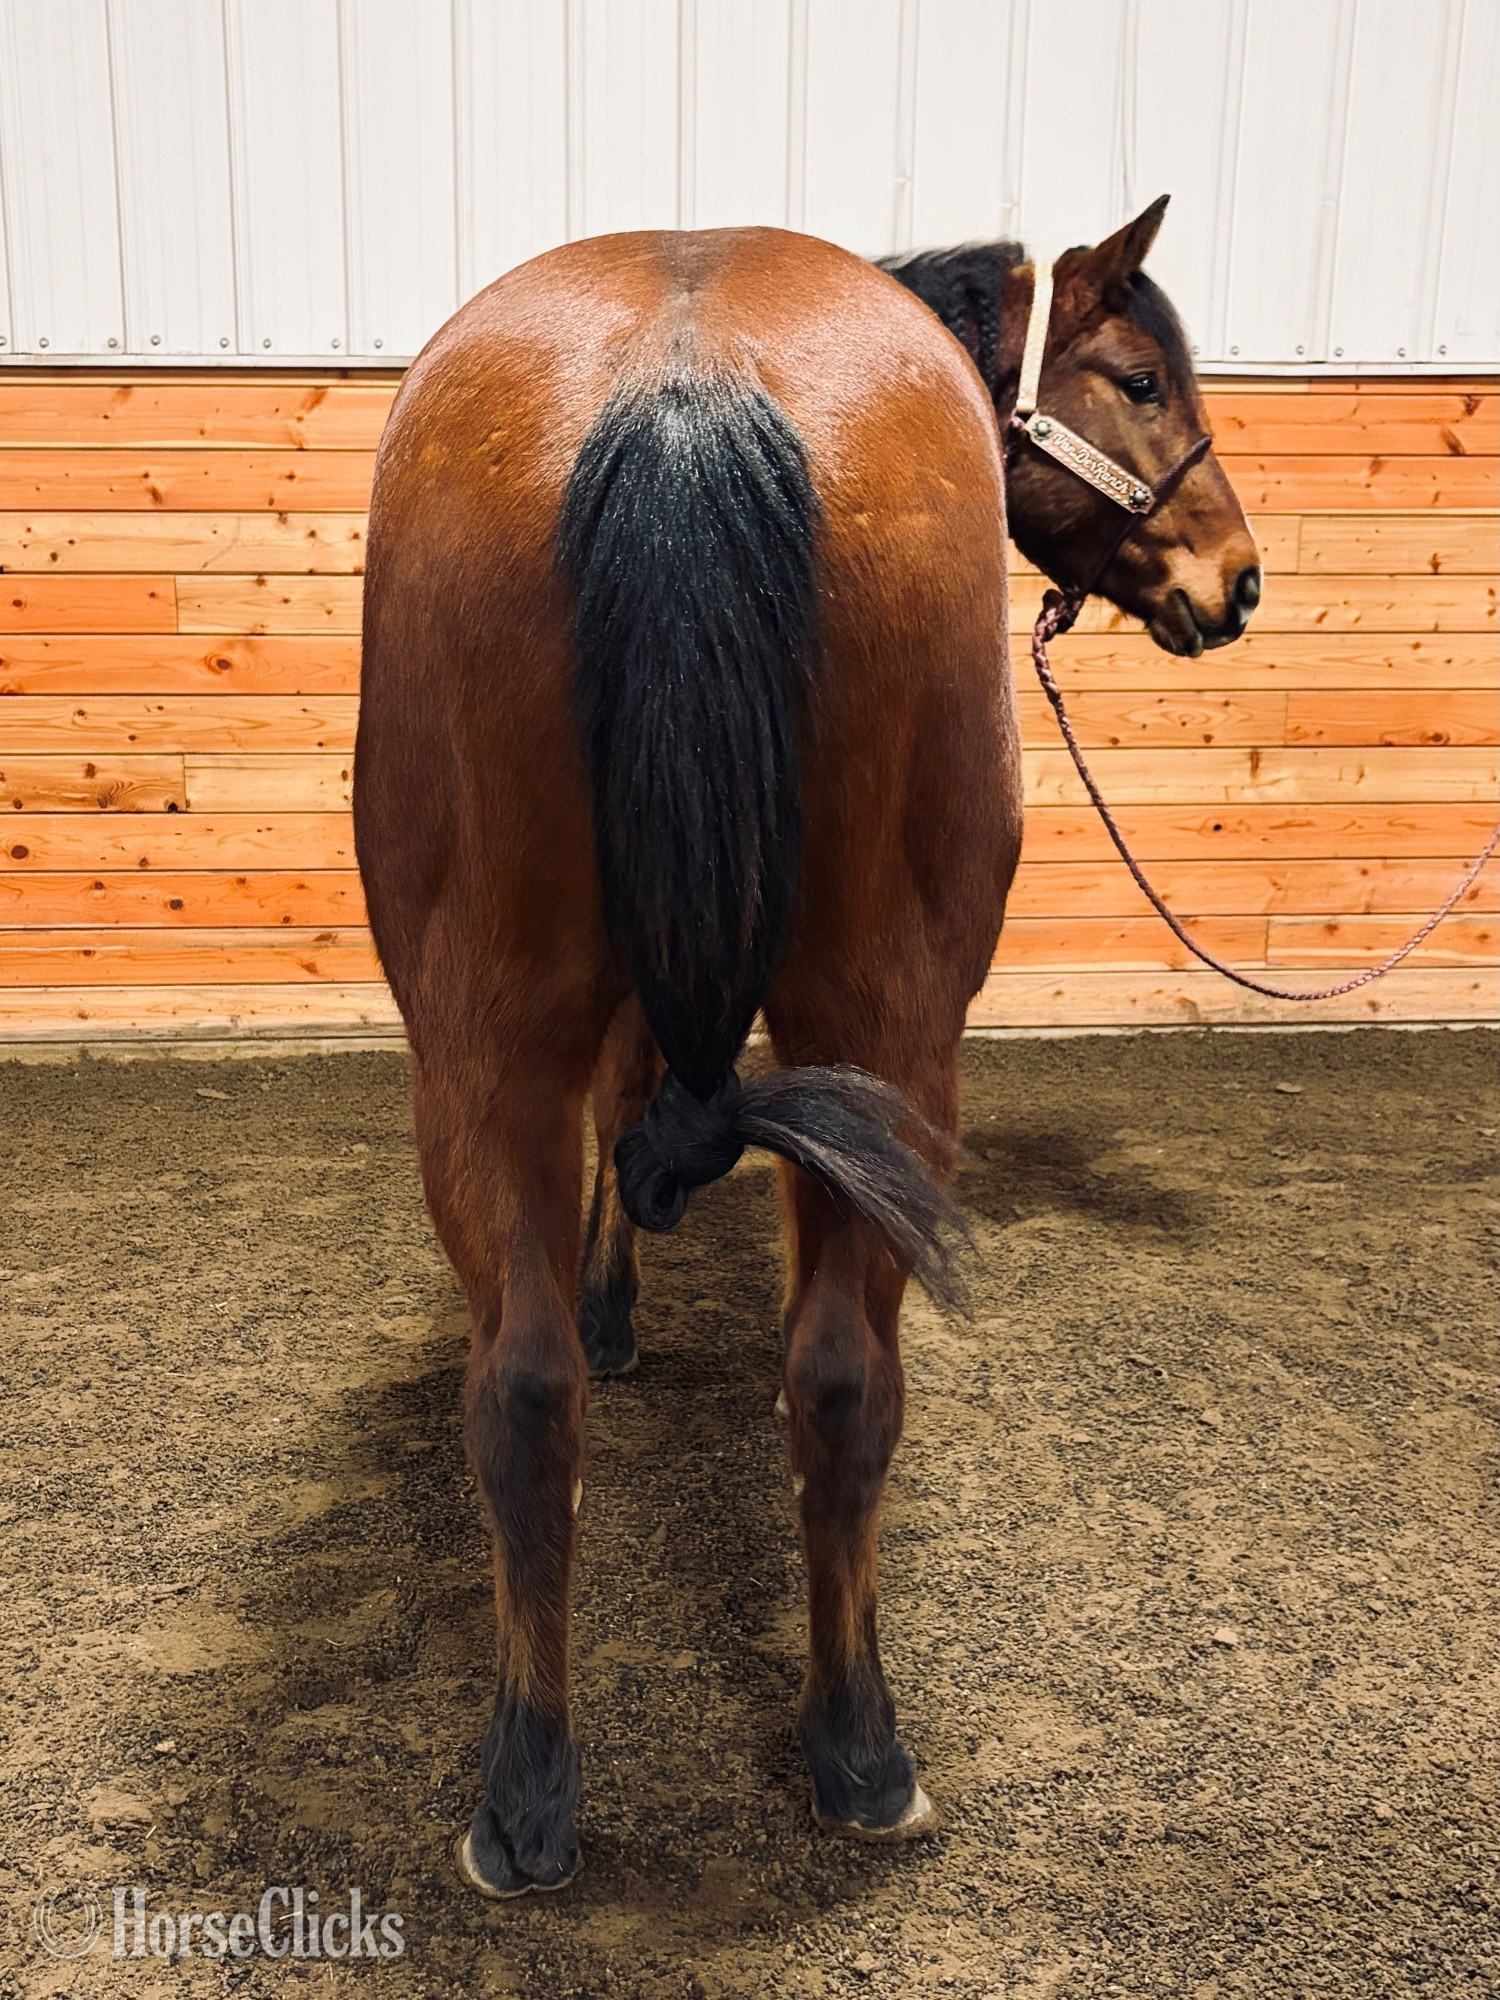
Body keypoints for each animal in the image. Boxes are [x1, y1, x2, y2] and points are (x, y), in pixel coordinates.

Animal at [353, 196, 1258, 1898]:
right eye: (1141, 378)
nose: (1237, 582)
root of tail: (685, 379)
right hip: (892, 1021)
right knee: (835, 1375)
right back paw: (857, 1747)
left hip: (483, 1036)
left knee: (538, 1392)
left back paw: (537, 1794)